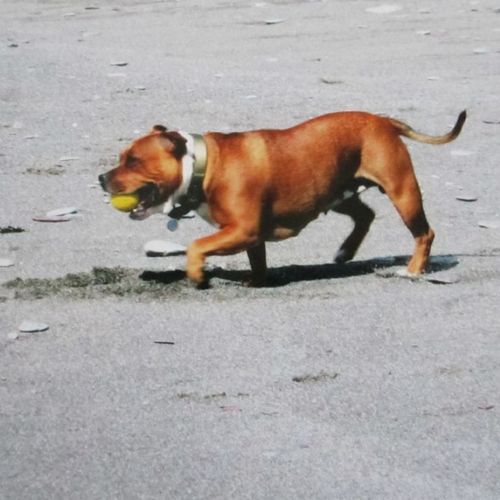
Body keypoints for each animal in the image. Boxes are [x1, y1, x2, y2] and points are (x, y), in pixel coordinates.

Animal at [99, 110, 466, 287]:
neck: (204, 166)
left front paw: (197, 275)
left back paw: (413, 269)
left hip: (403, 192)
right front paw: (257, 281)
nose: (101, 178)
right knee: (365, 215)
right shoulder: (249, 234)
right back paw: (345, 251)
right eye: (121, 158)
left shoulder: (242, 230)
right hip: (336, 191)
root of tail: (383, 120)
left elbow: (196, 246)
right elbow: (257, 259)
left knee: (424, 233)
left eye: (133, 161)